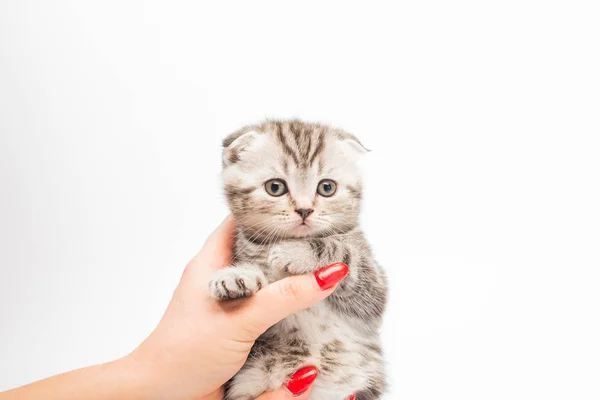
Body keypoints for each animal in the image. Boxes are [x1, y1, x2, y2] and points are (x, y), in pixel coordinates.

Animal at [210, 120, 390, 398]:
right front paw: (235, 276)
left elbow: (342, 252)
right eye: (275, 187)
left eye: (327, 187)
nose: (305, 210)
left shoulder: (373, 293)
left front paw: (295, 252)